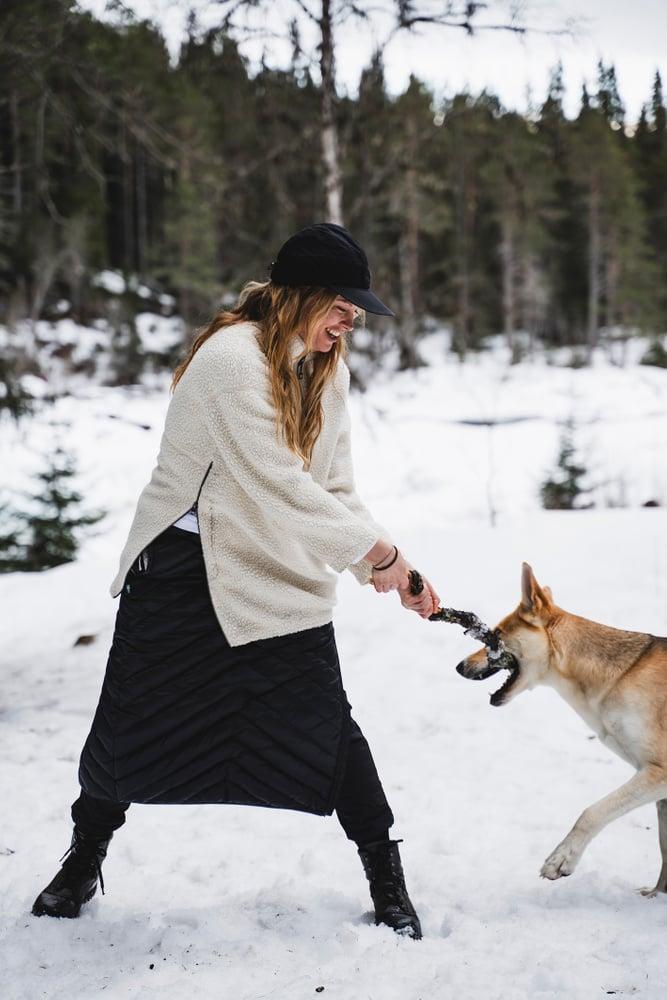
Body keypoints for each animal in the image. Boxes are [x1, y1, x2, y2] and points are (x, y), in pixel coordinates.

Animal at [456, 568, 667, 896]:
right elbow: (664, 850)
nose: (459, 666)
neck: (619, 675)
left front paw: (560, 860)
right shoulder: (658, 790)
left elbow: (591, 813)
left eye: (497, 634)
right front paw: (655, 897)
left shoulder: (658, 773)